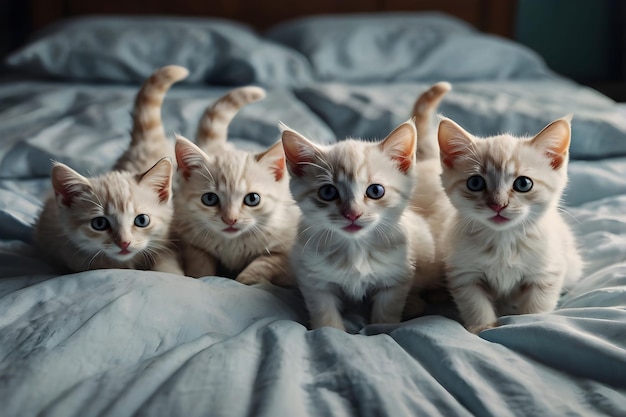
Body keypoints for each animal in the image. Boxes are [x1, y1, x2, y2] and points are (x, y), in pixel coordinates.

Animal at [171, 86, 298, 284]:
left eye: (253, 199)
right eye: (209, 199)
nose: (230, 219)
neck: (233, 243)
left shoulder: (286, 247)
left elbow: (262, 265)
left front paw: (243, 281)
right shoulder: (189, 235)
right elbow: (200, 262)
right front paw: (200, 277)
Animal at [280, 120, 434, 332]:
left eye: (376, 191)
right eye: (328, 192)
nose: (352, 213)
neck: (355, 249)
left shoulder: (396, 276)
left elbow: (387, 311)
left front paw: (382, 327)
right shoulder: (312, 276)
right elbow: (324, 312)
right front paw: (330, 330)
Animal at [436, 114, 584, 332]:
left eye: (523, 183)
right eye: (475, 183)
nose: (498, 205)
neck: (503, 241)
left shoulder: (546, 273)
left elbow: (537, 306)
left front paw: (528, 323)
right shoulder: (465, 274)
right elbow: (475, 303)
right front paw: (483, 327)